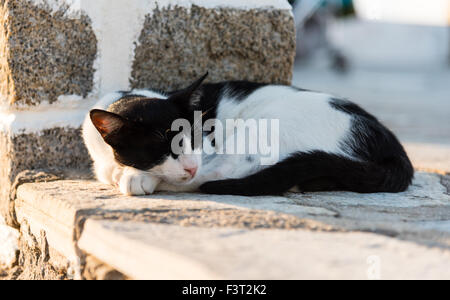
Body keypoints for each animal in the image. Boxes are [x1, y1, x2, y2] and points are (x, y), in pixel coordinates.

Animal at [82, 73, 414, 197]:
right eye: (160, 146)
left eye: (196, 136)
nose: (190, 165)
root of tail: (391, 143)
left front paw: (137, 176)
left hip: (266, 124)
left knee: (220, 174)